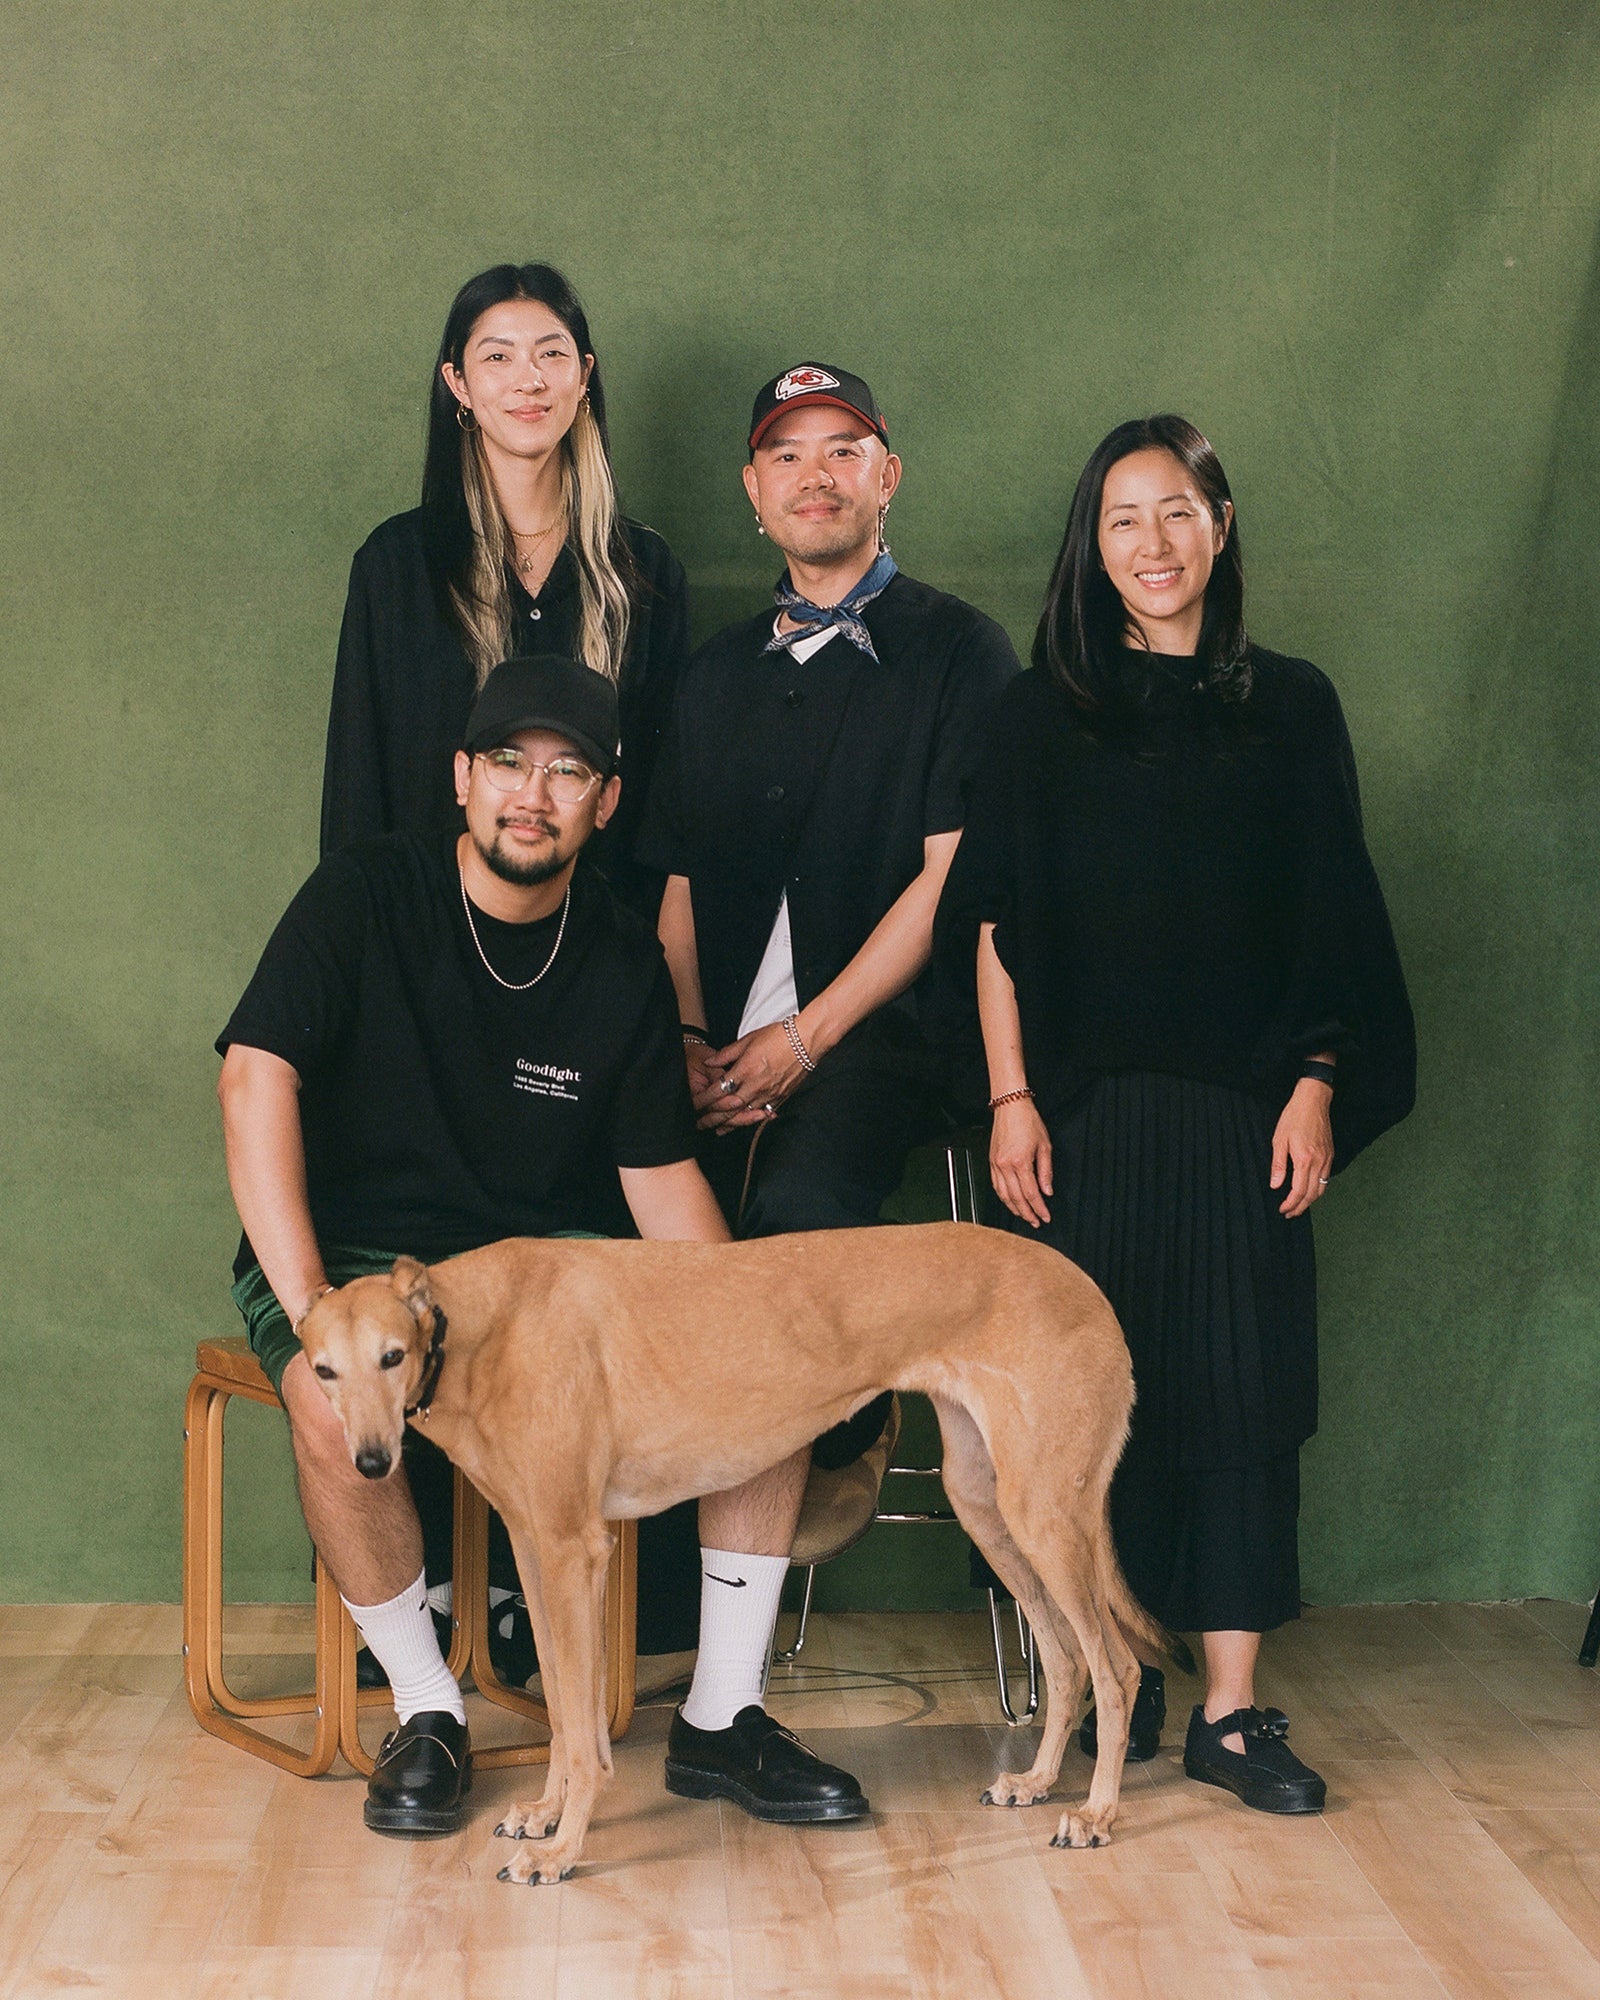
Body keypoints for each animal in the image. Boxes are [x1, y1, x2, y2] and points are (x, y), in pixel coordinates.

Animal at [296, 1208, 1176, 1880]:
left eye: (392, 1356)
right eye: (323, 1369)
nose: (370, 1462)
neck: (479, 1324)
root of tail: (1084, 1284)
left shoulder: (574, 1551)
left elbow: (583, 1733)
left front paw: (563, 1849)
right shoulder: (536, 1550)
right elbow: (567, 1717)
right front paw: (546, 1814)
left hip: (1047, 1514)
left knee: (1118, 1669)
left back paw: (1097, 1813)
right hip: (990, 1507)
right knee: (1065, 1658)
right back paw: (1037, 1782)